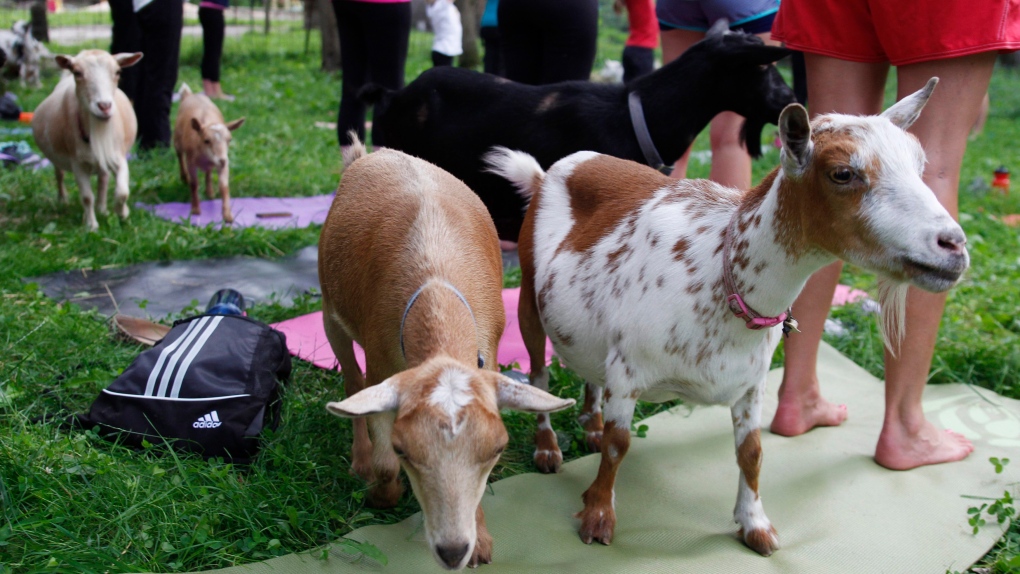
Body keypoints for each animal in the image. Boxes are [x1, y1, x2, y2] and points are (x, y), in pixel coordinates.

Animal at [32, 48, 143, 230]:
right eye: (77, 72)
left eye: (118, 72)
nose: (104, 106)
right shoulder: (78, 163)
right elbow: (86, 197)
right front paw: (91, 226)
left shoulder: (118, 157)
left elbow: (122, 192)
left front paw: (123, 214)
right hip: (56, 157)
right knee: (59, 175)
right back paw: (63, 200)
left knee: (103, 180)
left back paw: (102, 209)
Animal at [172, 85, 243, 224]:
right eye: (206, 140)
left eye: (229, 140)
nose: (222, 160)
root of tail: (190, 95)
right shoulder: (191, 162)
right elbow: (194, 184)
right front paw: (195, 210)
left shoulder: (223, 164)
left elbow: (224, 187)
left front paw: (227, 215)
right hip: (177, 139)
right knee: (179, 155)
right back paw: (184, 177)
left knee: (208, 172)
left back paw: (209, 192)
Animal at [318, 135, 575, 570]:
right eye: (404, 448)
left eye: (498, 447)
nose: (452, 551)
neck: (436, 281)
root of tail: (373, 154)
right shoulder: (382, 364)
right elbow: (385, 459)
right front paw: (382, 494)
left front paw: (481, 542)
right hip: (329, 308)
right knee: (352, 381)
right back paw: (360, 459)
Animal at [481, 78, 966, 554]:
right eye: (842, 173)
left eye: (921, 165)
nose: (954, 245)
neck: (721, 267)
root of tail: (547, 173)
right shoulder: (629, 369)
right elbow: (620, 446)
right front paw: (598, 517)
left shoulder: (751, 383)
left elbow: (752, 451)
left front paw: (756, 526)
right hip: (529, 297)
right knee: (540, 375)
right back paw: (548, 450)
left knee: (588, 373)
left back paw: (591, 427)